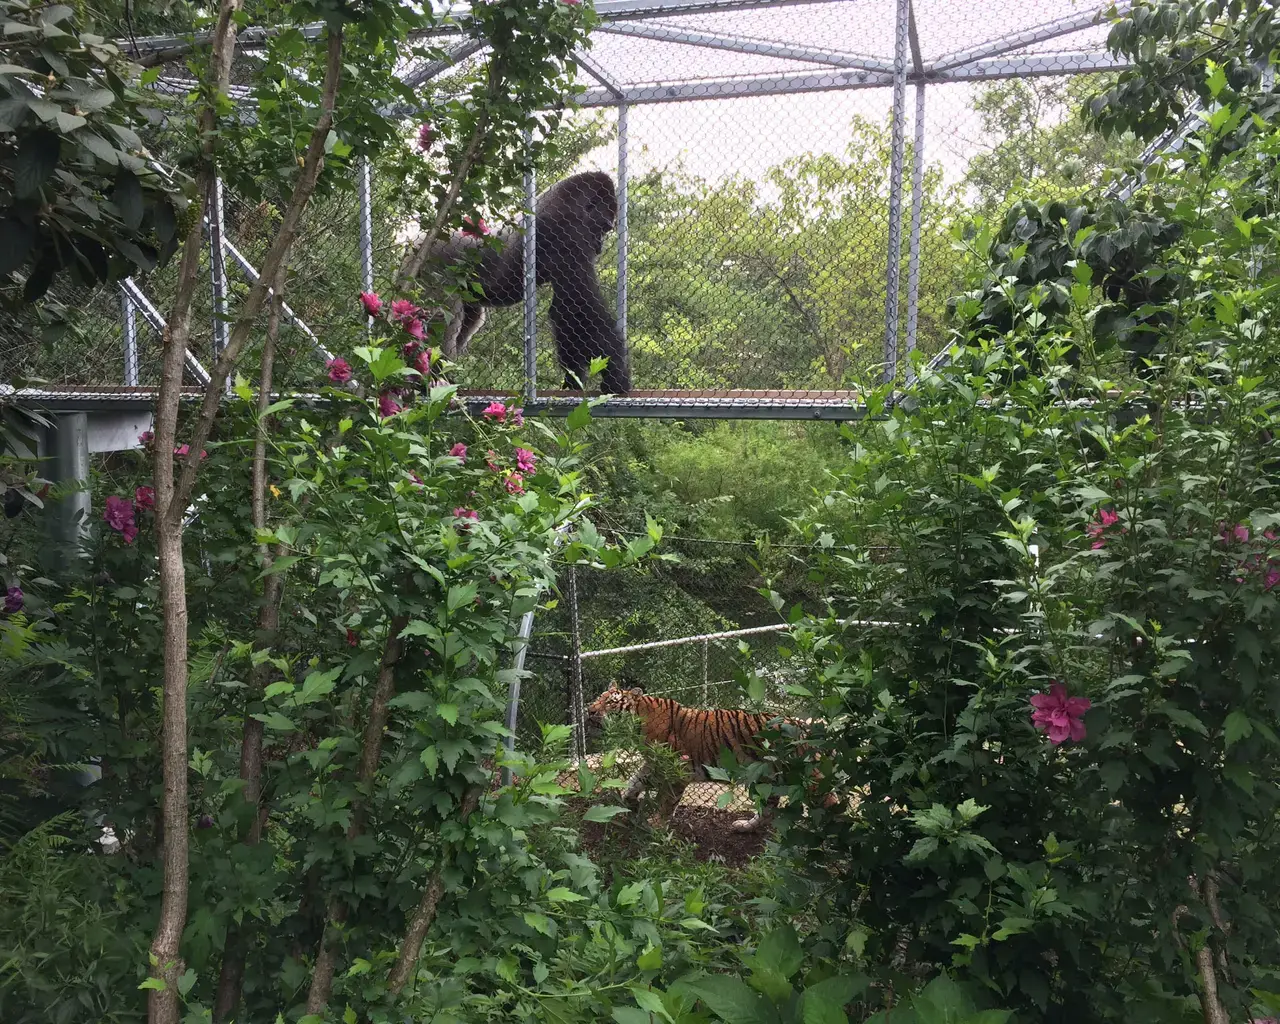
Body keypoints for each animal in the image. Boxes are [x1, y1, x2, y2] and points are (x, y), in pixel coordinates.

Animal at [404, 170, 629, 394]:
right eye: (603, 227)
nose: (599, 246)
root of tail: (415, 244)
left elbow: (566, 311)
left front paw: (574, 380)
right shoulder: (566, 231)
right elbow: (579, 305)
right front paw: (617, 375)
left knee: (469, 318)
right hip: (429, 265)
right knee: (444, 316)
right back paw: (430, 377)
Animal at [586, 680, 834, 829]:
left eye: (610, 701)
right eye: (598, 697)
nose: (589, 710)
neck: (638, 723)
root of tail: (804, 726)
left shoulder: (676, 771)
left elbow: (666, 801)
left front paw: (657, 824)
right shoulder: (654, 764)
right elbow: (634, 781)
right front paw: (629, 802)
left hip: (808, 778)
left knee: (829, 804)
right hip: (767, 777)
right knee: (768, 809)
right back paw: (744, 827)